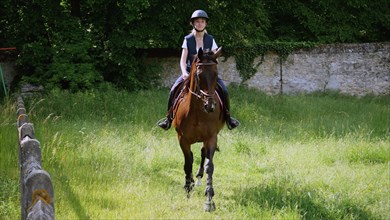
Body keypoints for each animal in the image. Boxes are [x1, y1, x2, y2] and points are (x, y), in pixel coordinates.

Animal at [172, 46, 224, 211]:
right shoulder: (182, 139)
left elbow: (209, 166)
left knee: (202, 154)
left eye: (216, 74)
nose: (210, 106)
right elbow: (188, 162)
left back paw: (200, 178)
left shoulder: (211, 138)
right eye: (199, 75)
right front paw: (187, 189)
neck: (197, 112)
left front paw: (209, 199)